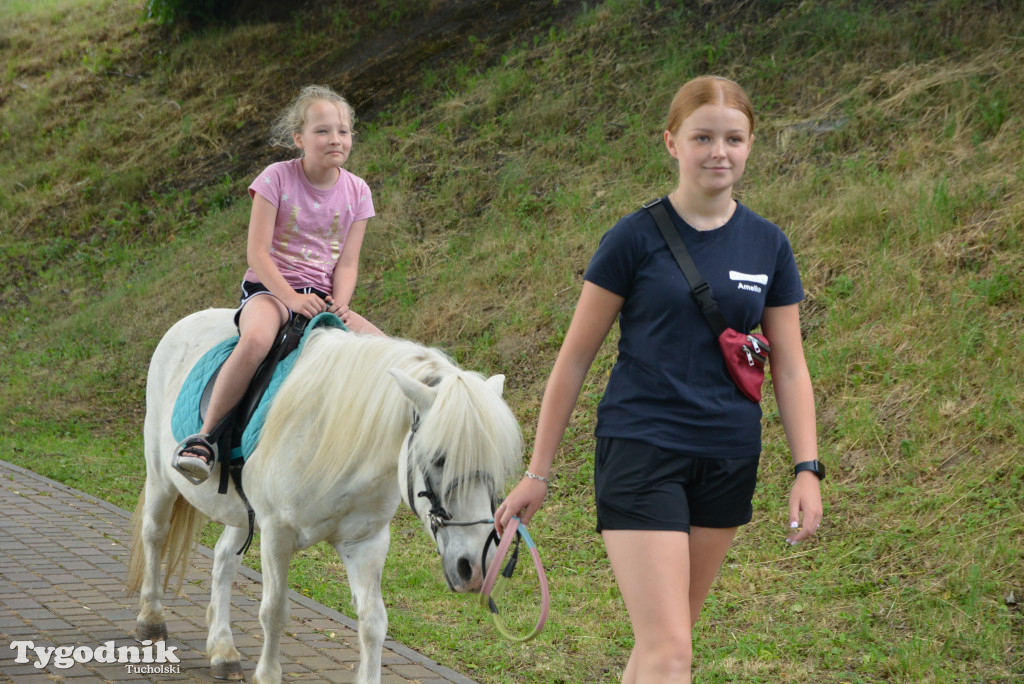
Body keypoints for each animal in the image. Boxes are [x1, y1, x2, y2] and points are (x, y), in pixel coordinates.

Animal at [129, 309, 524, 684]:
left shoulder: (366, 542)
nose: (474, 568)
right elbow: (275, 611)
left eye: (497, 469)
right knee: (155, 534)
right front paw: (268, 675)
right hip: (162, 477)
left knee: (224, 559)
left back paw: (223, 651)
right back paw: (151, 619)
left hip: (244, 513)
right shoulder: (277, 533)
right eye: (439, 458)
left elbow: (374, 621)